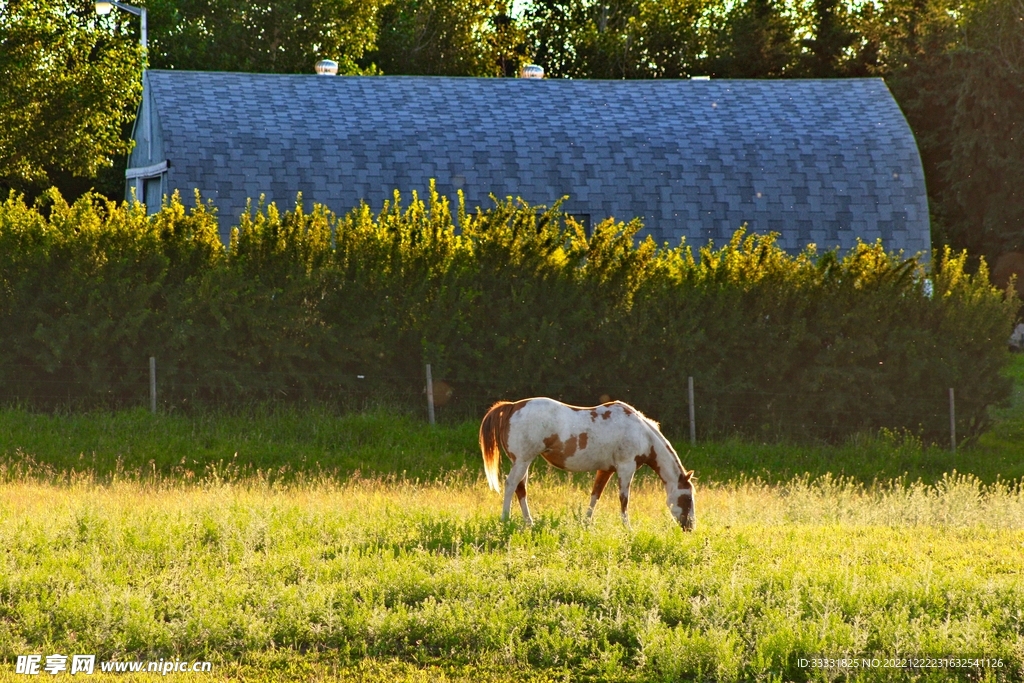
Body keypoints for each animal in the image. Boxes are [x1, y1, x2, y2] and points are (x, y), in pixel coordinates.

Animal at [479, 397, 696, 531]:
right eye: (687, 498)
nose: (690, 527)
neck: (641, 432)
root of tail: (513, 406)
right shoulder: (626, 468)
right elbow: (624, 499)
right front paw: (628, 527)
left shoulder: (606, 469)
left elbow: (595, 495)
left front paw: (586, 522)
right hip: (522, 460)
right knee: (510, 485)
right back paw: (505, 519)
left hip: (523, 462)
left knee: (521, 489)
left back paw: (529, 522)